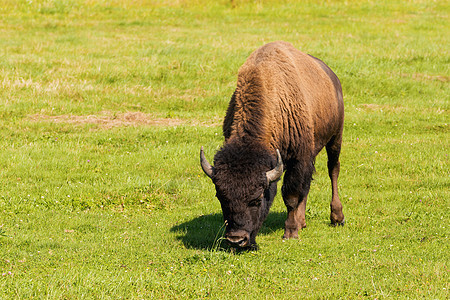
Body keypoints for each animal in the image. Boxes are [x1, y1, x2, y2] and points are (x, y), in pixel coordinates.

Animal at [200, 42, 344, 248]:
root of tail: (331, 76)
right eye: (221, 197)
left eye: (258, 198)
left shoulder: (299, 158)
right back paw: (302, 222)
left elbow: (291, 196)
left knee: (333, 170)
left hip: (335, 137)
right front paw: (295, 226)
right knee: (308, 183)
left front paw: (290, 232)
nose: (236, 239)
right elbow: (299, 190)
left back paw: (337, 217)